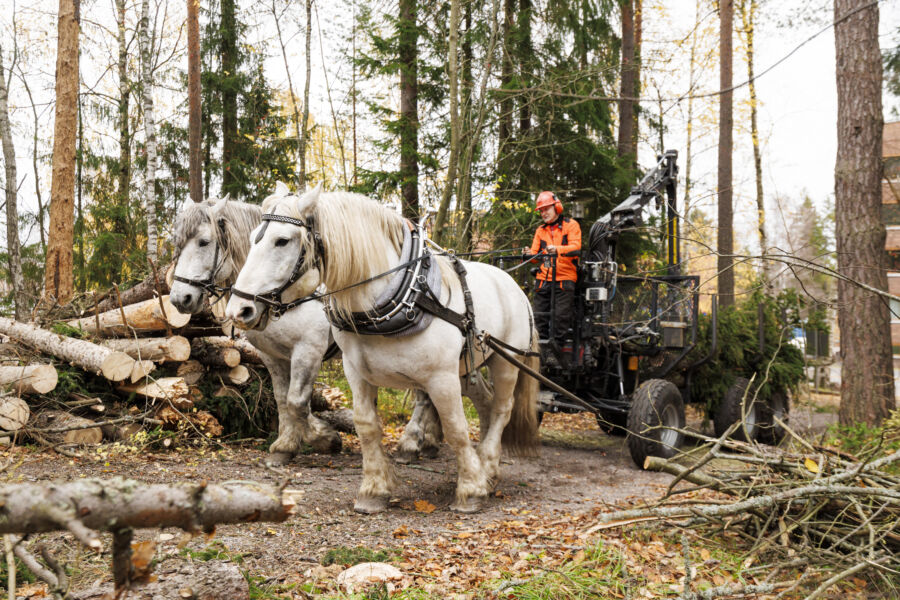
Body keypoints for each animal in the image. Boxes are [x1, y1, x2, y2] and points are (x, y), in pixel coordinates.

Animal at [168, 197, 342, 460]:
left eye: (203, 242)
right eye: (177, 244)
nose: (180, 299)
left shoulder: (309, 350)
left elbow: (297, 400)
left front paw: (324, 438)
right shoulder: (271, 355)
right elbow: (283, 399)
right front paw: (286, 444)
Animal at [225, 184, 540, 510]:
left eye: (282, 240)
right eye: (252, 238)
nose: (238, 309)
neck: (402, 297)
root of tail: (513, 284)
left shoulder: (439, 376)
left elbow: (456, 427)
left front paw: (470, 490)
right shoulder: (355, 371)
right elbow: (365, 425)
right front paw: (374, 490)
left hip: (505, 362)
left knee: (502, 408)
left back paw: (486, 468)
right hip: (468, 368)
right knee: (487, 403)